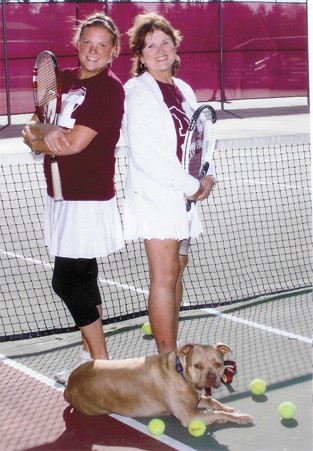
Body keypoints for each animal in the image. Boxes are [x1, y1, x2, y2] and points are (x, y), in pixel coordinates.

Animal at [64, 344, 254, 430]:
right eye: (198, 365)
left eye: (218, 364)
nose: (212, 377)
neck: (180, 370)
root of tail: (69, 384)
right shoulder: (189, 416)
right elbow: (217, 412)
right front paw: (240, 417)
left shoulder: (196, 400)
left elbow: (213, 402)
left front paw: (230, 409)